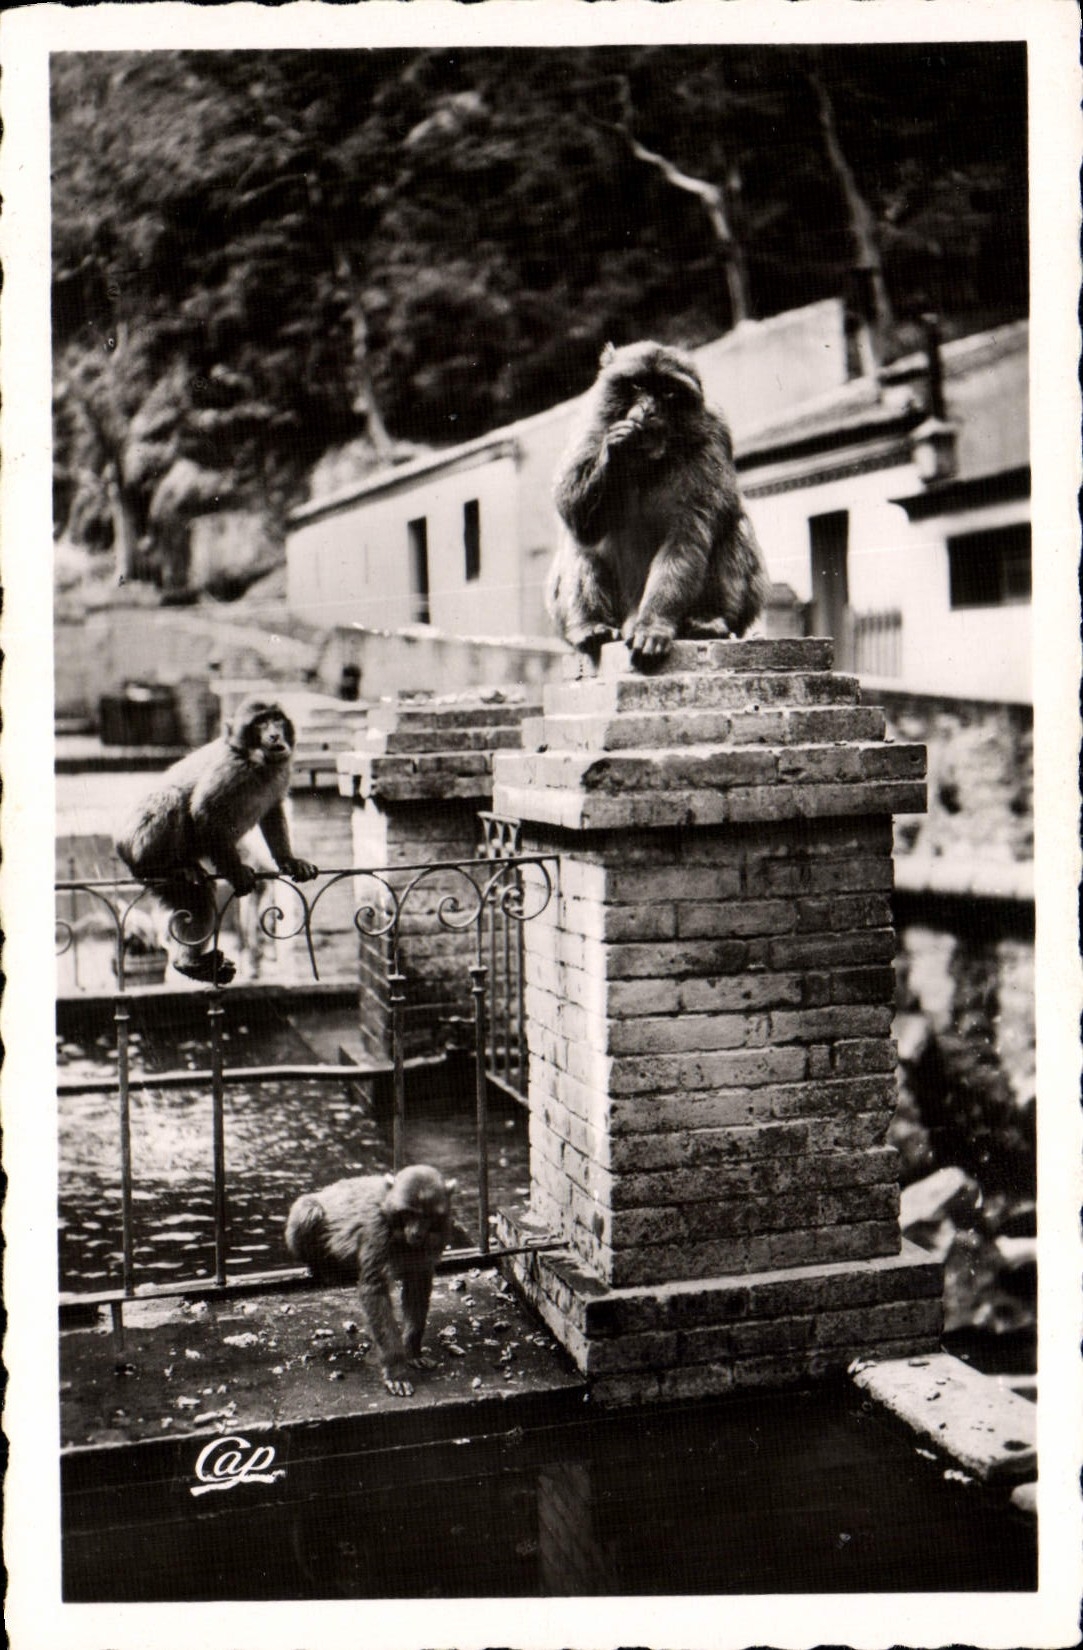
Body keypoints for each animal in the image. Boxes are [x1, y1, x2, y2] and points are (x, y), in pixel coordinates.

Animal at [115, 697, 318, 985]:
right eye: (260, 723)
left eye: (276, 718)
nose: (274, 735)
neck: (256, 762)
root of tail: (121, 847)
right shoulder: (231, 769)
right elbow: (204, 812)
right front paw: (236, 871)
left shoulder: (281, 770)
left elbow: (272, 812)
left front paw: (289, 860)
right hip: (136, 843)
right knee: (170, 798)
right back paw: (165, 867)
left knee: (196, 898)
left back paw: (187, 963)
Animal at [285, 1165, 457, 1397]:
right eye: (408, 1213)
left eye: (426, 1216)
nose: (416, 1233)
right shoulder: (377, 1229)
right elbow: (374, 1289)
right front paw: (396, 1369)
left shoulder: (437, 1234)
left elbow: (418, 1285)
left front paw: (412, 1351)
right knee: (309, 1211)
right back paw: (325, 1269)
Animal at [547, 340, 770, 669]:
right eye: (638, 385)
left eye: (668, 392)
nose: (648, 410)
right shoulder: (590, 423)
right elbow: (577, 517)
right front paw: (616, 451)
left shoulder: (712, 435)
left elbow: (687, 533)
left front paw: (653, 626)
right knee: (578, 539)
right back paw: (590, 626)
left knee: (734, 525)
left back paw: (709, 621)